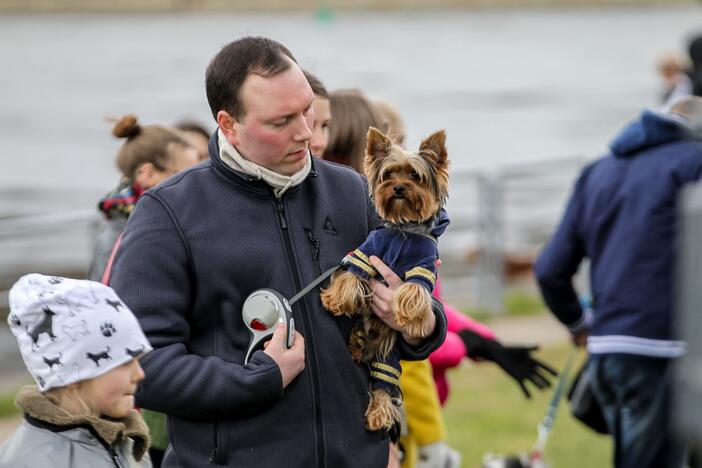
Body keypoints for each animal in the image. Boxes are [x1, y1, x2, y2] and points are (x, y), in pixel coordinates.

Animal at [324, 125, 454, 432]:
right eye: (390, 174)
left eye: (414, 175)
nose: (398, 188)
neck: (404, 230)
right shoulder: (368, 250)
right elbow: (351, 275)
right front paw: (334, 300)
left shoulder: (424, 266)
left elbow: (414, 290)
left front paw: (407, 312)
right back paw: (356, 345)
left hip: (389, 355)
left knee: (384, 382)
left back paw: (378, 413)